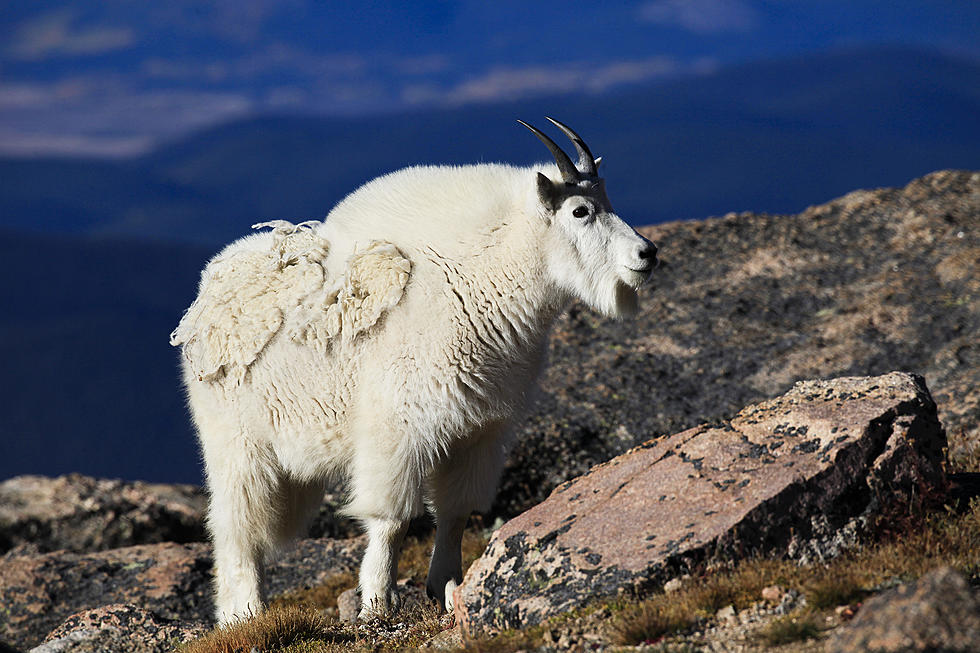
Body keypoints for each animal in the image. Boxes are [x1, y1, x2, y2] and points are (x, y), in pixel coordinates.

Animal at [170, 117, 660, 620]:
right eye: (581, 211)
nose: (647, 254)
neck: (482, 278)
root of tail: (204, 297)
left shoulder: (481, 431)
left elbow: (456, 511)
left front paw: (446, 587)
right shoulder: (399, 425)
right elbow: (392, 517)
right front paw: (378, 602)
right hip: (236, 441)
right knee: (237, 525)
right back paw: (246, 612)